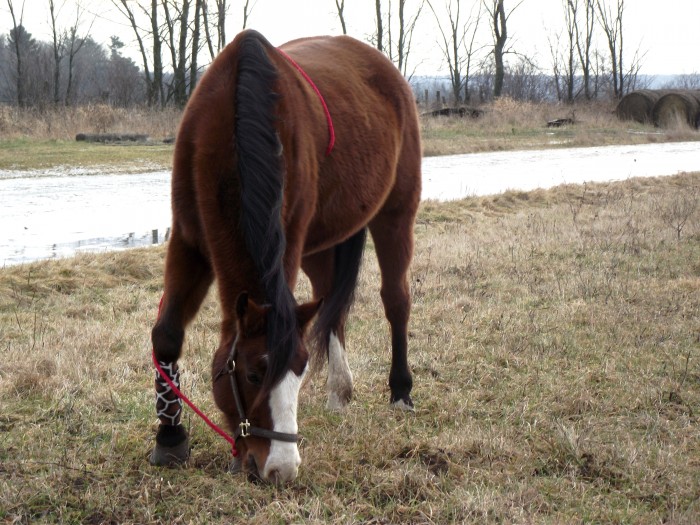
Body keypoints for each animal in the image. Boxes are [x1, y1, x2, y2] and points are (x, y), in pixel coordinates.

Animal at [149, 30, 422, 484]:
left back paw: (400, 390)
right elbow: (167, 335)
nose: (281, 468)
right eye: (253, 374)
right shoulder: (187, 241)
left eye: (299, 371)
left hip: (395, 213)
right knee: (330, 303)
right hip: (321, 242)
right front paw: (169, 438)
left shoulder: (287, 241)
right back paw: (339, 391)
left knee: (396, 300)